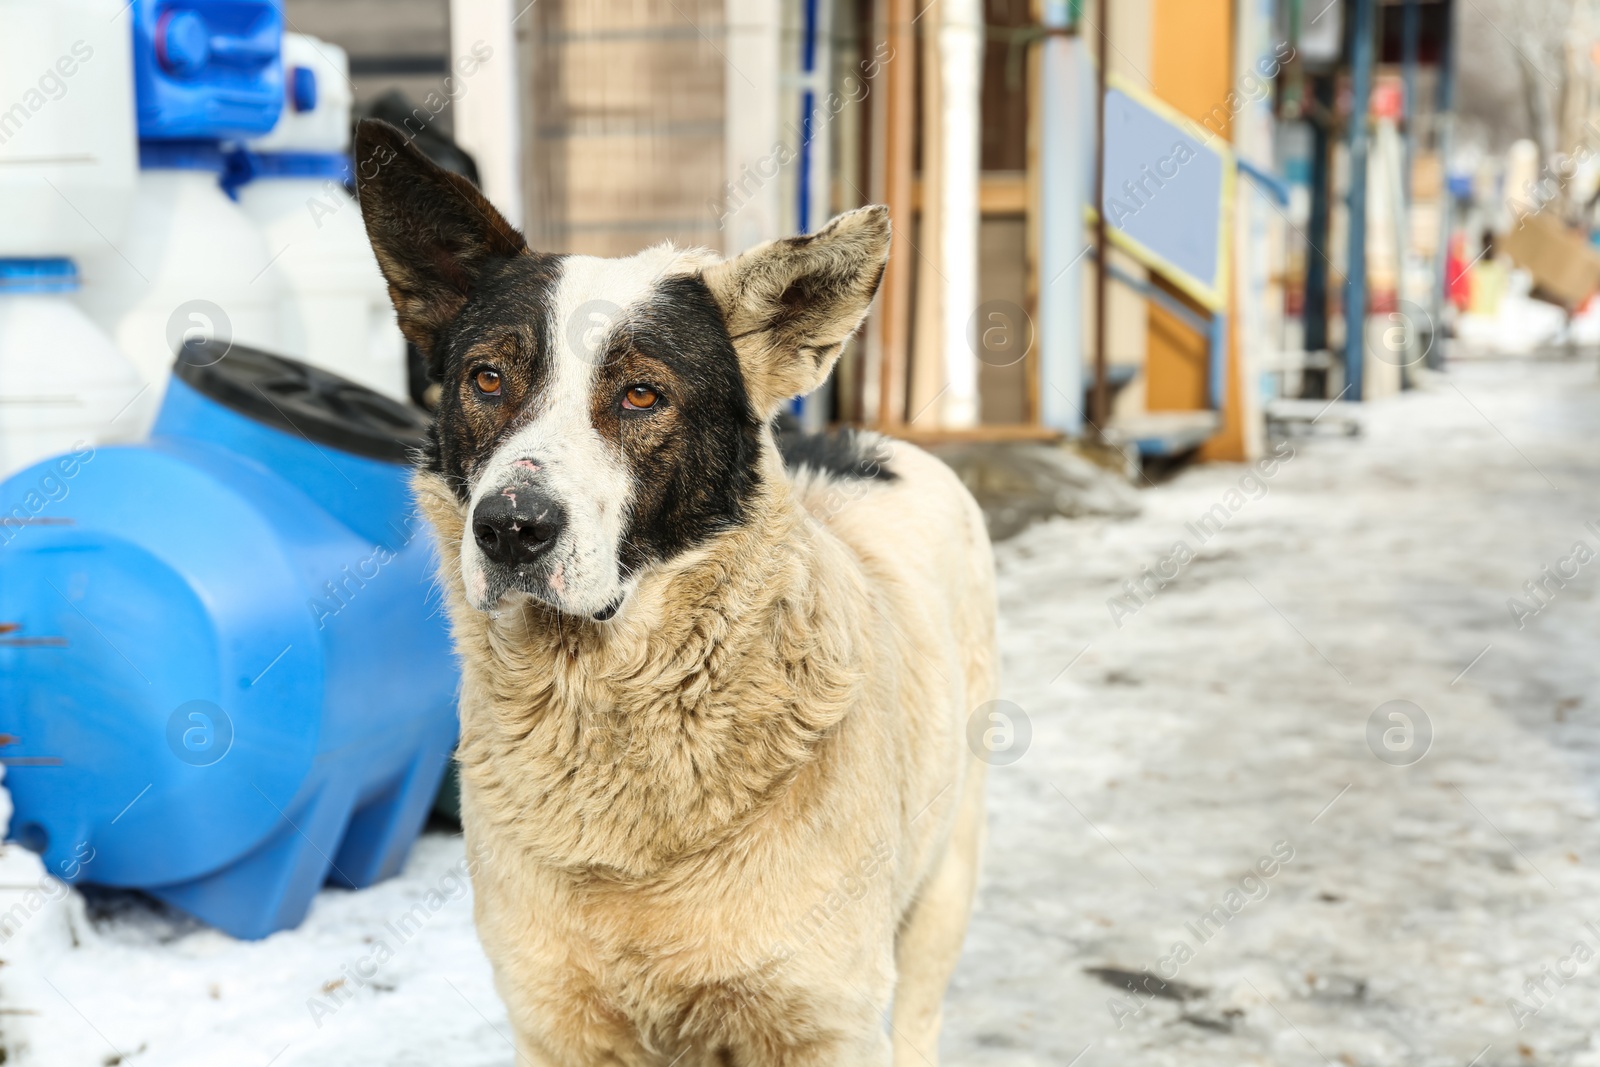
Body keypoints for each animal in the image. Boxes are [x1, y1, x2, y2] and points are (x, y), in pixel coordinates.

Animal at [356, 120, 992, 1062]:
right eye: (487, 378)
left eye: (640, 393)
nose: (510, 527)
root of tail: (862, 439)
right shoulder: (558, 1022)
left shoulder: (824, 1020)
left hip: (943, 888)